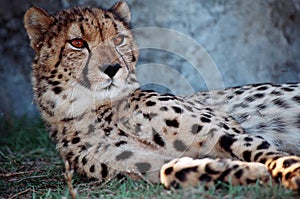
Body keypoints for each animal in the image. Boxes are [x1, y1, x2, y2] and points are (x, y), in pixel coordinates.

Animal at [24, 1, 300, 191]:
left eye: (118, 38)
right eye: (78, 43)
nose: (113, 68)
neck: (91, 109)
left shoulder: (225, 130)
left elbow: (269, 154)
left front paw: (291, 173)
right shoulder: (146, 165)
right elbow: (172, 170)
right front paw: (251, 173)